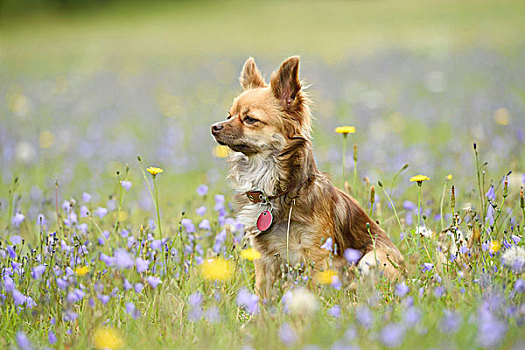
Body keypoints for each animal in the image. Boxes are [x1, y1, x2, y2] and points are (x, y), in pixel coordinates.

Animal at [211, 56, 404, 296]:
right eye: (229, 116)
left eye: (250, 119)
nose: (214, 127)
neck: (277, 191)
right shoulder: (264, 258)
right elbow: (262, 291)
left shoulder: (316, 253)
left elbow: (313, 287)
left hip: (373, 257)